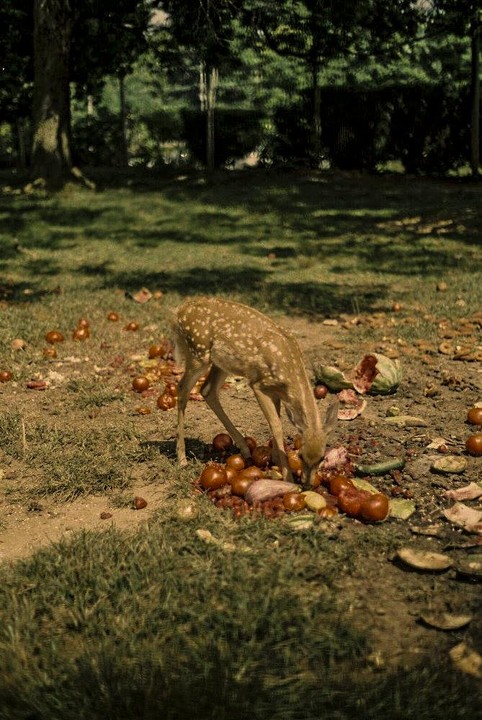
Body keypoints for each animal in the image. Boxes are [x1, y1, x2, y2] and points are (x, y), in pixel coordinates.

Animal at [172, 296, 338, 487]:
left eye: (321, 457)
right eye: (301, 455)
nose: (307, 484)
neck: (289, 374)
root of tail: (178, 311)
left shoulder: (275, 392)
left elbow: (277, 419)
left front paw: (275, 459)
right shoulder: (258, 384)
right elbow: (276, 424)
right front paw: (287, 475)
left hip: (221, 363)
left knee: (207, 390)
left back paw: (244, 448)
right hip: (198, 352)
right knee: (182, 388)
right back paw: (182, 458)